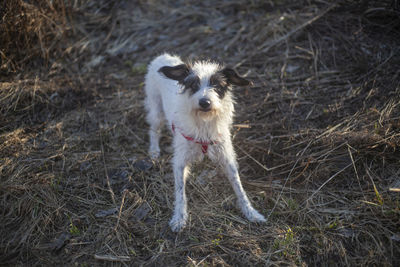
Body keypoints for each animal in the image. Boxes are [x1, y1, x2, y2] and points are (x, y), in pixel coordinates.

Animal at [145, 52, 266, 232]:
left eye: (217, 85)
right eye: (193, 85)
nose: (204, 102)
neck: (204, 122)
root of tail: (163, 56)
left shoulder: (226, 157)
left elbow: (239, 188)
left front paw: (251, 212)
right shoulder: (180, 161)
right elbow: (180, 193)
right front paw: (179, 218)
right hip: (156, 110)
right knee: (154, 129)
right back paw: (154, 150)